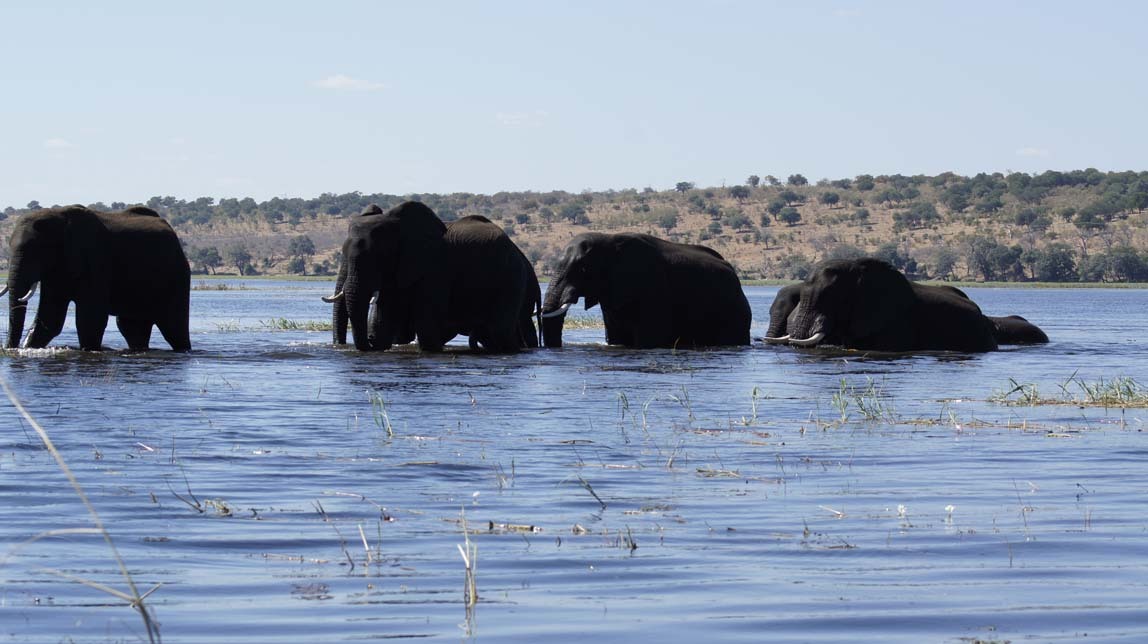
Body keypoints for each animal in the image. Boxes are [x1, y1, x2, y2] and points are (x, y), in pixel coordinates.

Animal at [2, 203, 190, 348]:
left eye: (37, 251)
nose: (8, 348)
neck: (58, 218)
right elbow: (49, 320)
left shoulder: (96, 259)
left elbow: (90, 319)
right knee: (132, 329)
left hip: (177, 275)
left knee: (174, 329)